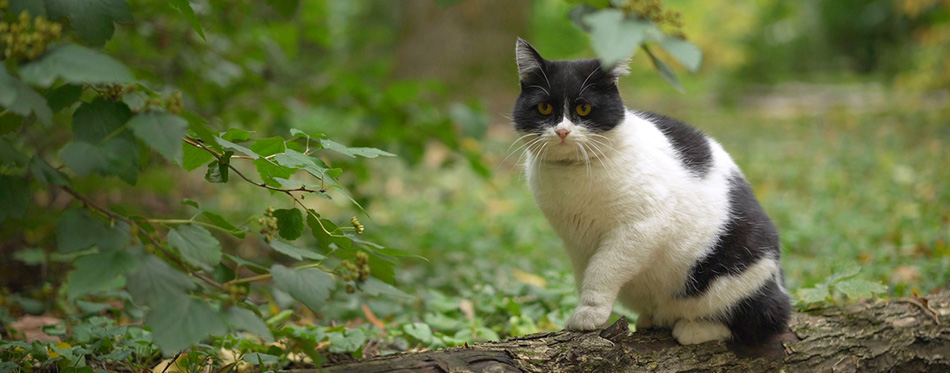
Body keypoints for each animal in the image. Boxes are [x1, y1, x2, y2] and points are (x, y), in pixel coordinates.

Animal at [512, 39, 796, 344]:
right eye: (544, 108)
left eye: (584, 109)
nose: (562, 131)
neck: (571, 174)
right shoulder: (574, 242)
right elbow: (585, 274)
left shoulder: (641, 228)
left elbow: (602, 270)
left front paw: (589, 314)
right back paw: (653, 318)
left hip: (741, 269)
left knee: (764, 319)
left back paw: (692, 328)